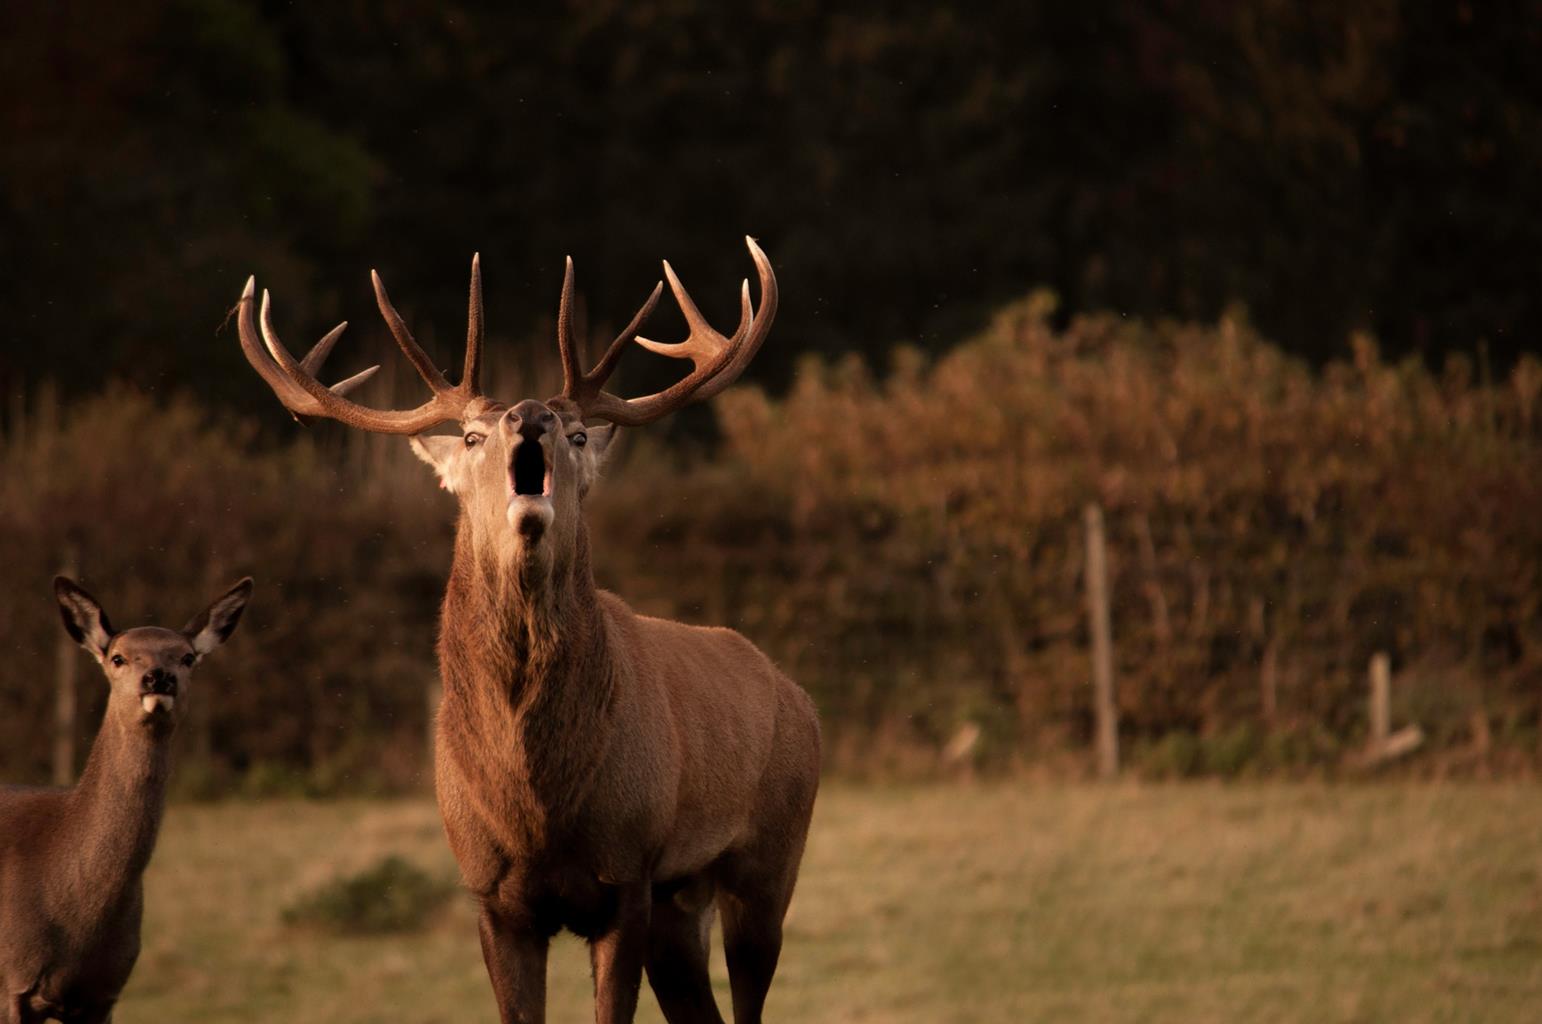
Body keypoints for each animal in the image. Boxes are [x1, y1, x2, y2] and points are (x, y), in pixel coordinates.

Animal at [233, 237, 819, 1024]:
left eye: (575, 434)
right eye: (473, 434)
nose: (530, 415)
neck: (537, 799)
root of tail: (795, 694)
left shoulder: (628, 870)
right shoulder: (492, 892)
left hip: (768, 858)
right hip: (681, 898)